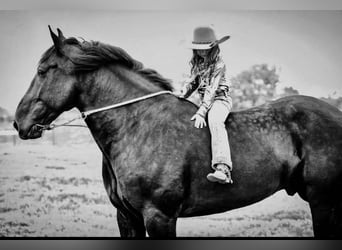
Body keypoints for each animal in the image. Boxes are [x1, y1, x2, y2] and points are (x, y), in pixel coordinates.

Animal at [13, 27, 342, 238]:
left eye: (43, 70)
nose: (19, 122)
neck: (138, 126)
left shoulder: (159, 216)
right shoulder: (127, 217)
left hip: (323, 201)